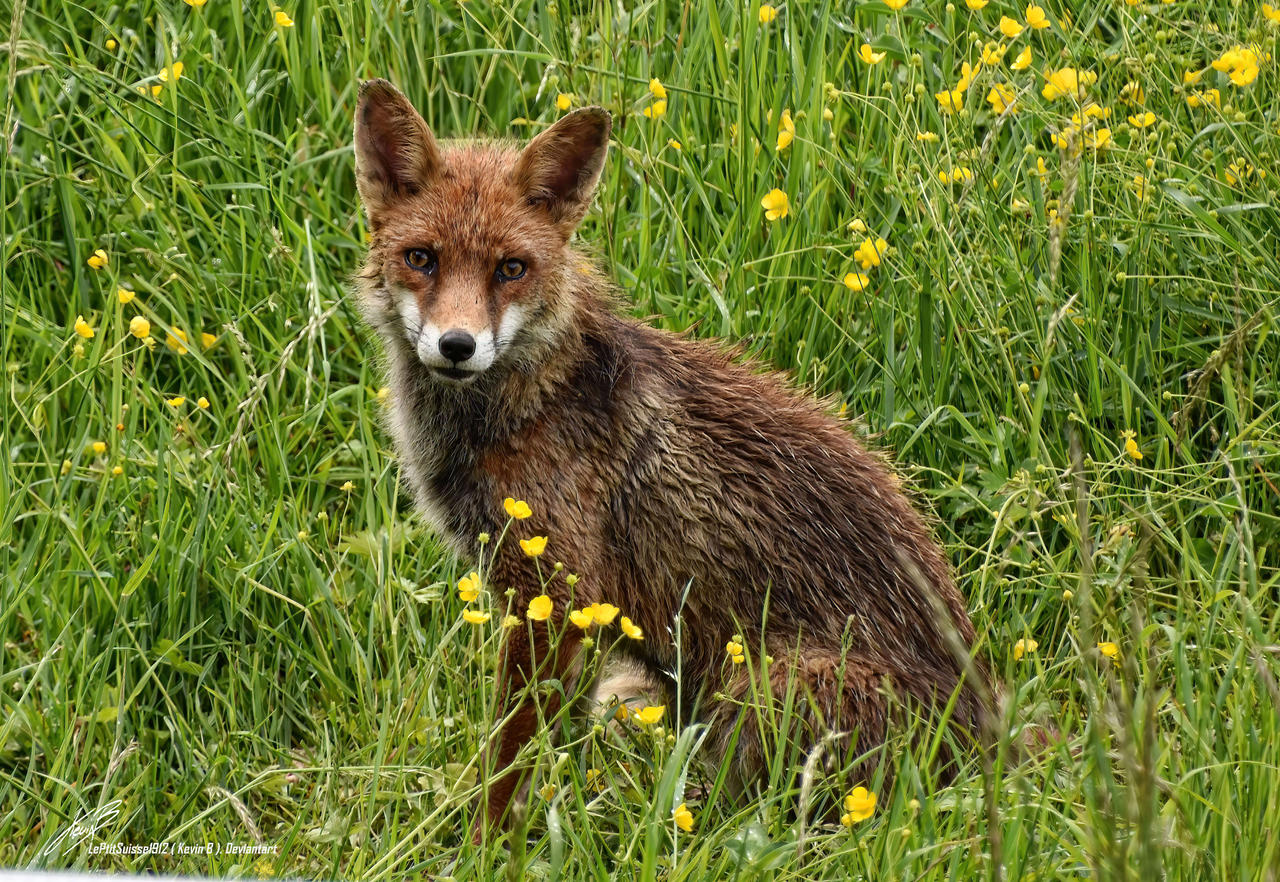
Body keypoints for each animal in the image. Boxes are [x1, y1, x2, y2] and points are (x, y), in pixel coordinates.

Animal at [352, 79, 990, 836]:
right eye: (421, 258)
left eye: (511, 269)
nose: (457, 346)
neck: (531, 402)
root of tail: (994, 732)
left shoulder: (555, 596)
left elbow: (507, 761)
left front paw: (483, 842)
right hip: (648, 693)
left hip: (763, 693)